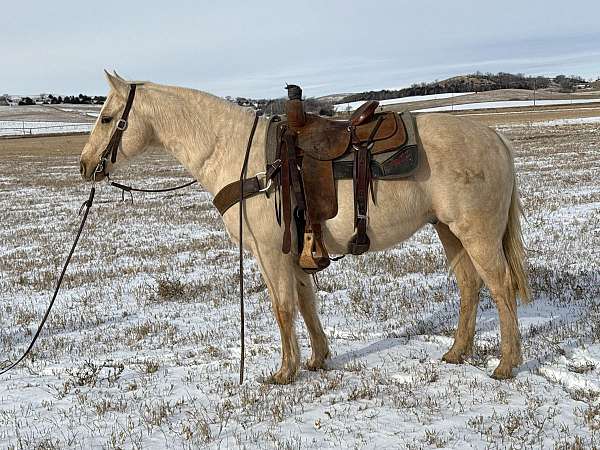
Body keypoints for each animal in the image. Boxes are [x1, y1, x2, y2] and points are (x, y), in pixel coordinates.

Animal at [81, 71, 528, 384]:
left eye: (107, 118)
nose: (86, 166)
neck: (239, 155)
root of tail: (496, 138)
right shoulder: (296, 250)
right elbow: (306, 302)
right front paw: (316, 359)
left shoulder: (269, 251)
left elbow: (282, 307)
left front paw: (285, 371)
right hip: (449, 231)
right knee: (469, 285)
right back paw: (456, 352)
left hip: (477, 234)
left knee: (501, 286)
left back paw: (506, 365)